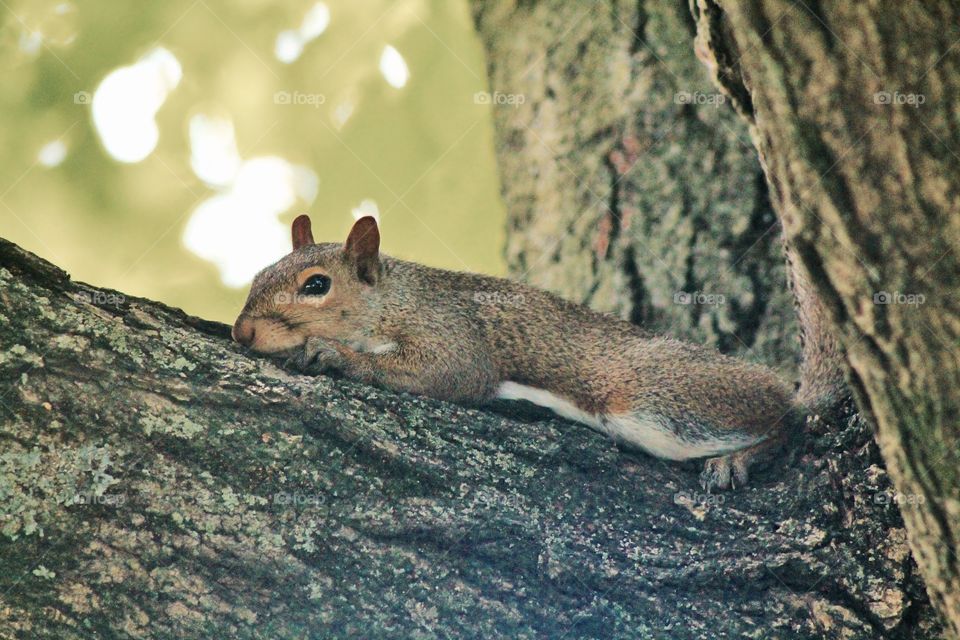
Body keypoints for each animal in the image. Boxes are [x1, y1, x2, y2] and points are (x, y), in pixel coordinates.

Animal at [233, 215, 802, 491]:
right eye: (260, 273)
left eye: (317, 285)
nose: (242, 331)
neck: (396, 298)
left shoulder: (452, 334)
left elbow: (452, 373)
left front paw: (333, 353)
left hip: (658, 399)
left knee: (782, 423)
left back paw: (741, 457)